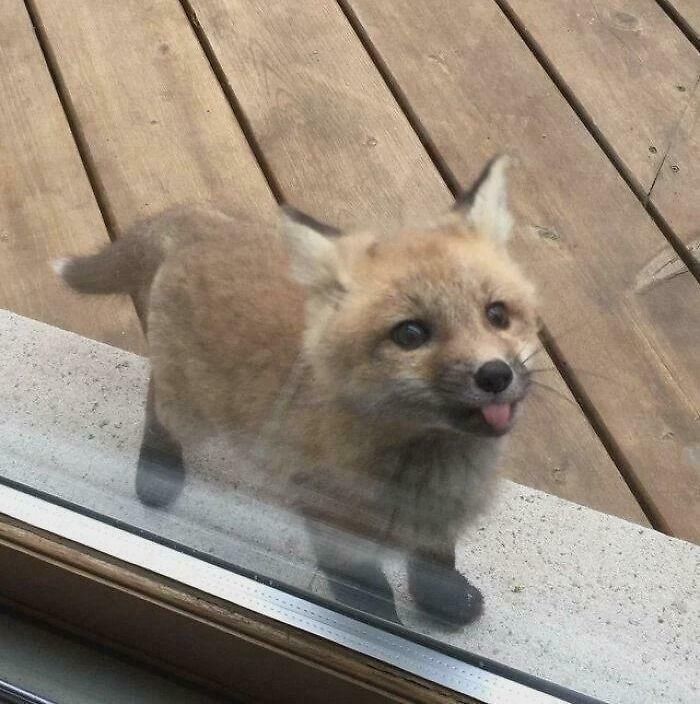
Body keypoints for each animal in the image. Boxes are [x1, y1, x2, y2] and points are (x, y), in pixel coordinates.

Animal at [55, 156, 539, 625]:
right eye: (411, 334)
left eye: (497, 314)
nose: (494, 375)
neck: (428, 468)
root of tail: (205, 226)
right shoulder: (330, 519)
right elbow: (368, 593)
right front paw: (374, 627)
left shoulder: (440, 520)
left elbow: (435, 562)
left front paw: (444, 600)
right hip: (191, 410)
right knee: (158, 405)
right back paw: (158, 471)